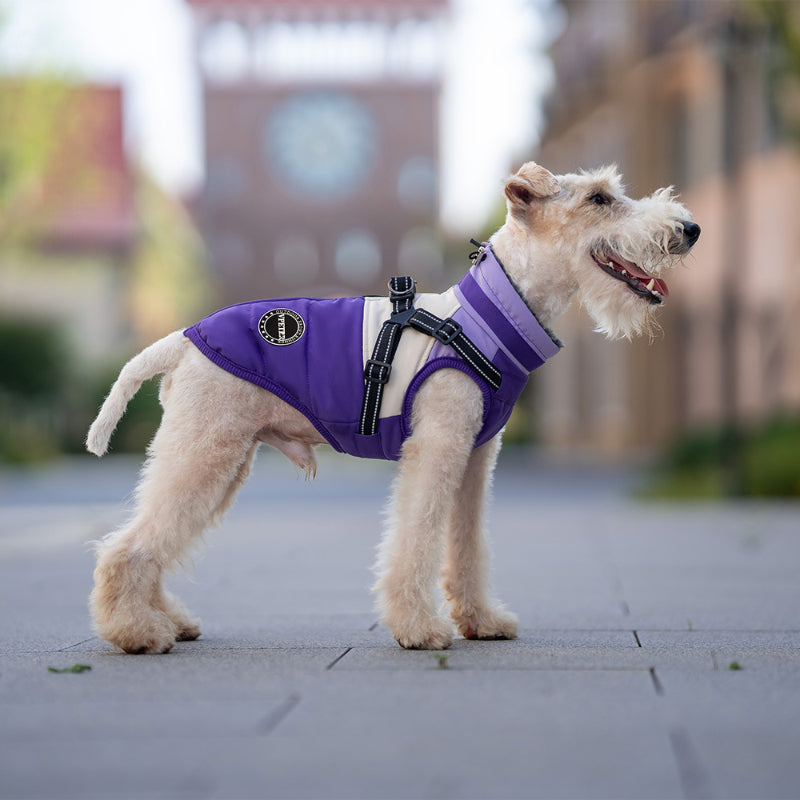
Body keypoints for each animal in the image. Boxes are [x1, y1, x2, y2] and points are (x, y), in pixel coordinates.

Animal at [86, 164, 700, 656]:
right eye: (598, 197)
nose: (689, 230)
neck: (488, 318)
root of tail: (182, 340)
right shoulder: (436, 448)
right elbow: (416, 538)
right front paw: (418, 629)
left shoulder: (475, 459)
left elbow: (466, 546)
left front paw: (481, 620)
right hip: (205, 453)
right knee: (127, 546)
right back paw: (137, 634)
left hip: (220, 461)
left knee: (152, 542)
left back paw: (167, 622)